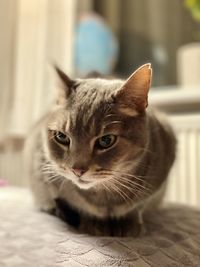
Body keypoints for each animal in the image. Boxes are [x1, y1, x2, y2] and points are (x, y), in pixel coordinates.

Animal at [25, 64, 177, 237]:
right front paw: (93, 222)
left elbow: (138, 205)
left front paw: (128, 222)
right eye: (62, 137)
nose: (77, 170)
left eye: (106, 140)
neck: (105, 196)